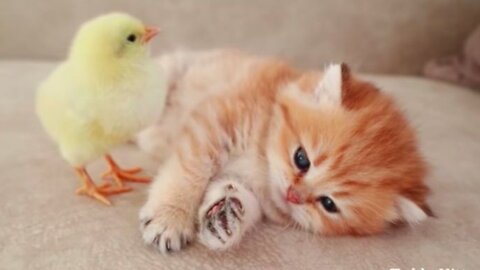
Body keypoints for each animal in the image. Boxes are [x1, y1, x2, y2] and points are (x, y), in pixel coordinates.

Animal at [136, 49, 432, 253]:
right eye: (301, 159)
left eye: (328, 204)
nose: (293, 195)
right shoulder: (212, 124)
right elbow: (189, 172)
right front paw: (170, 218)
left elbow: (238, 194)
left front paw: (225, 217)